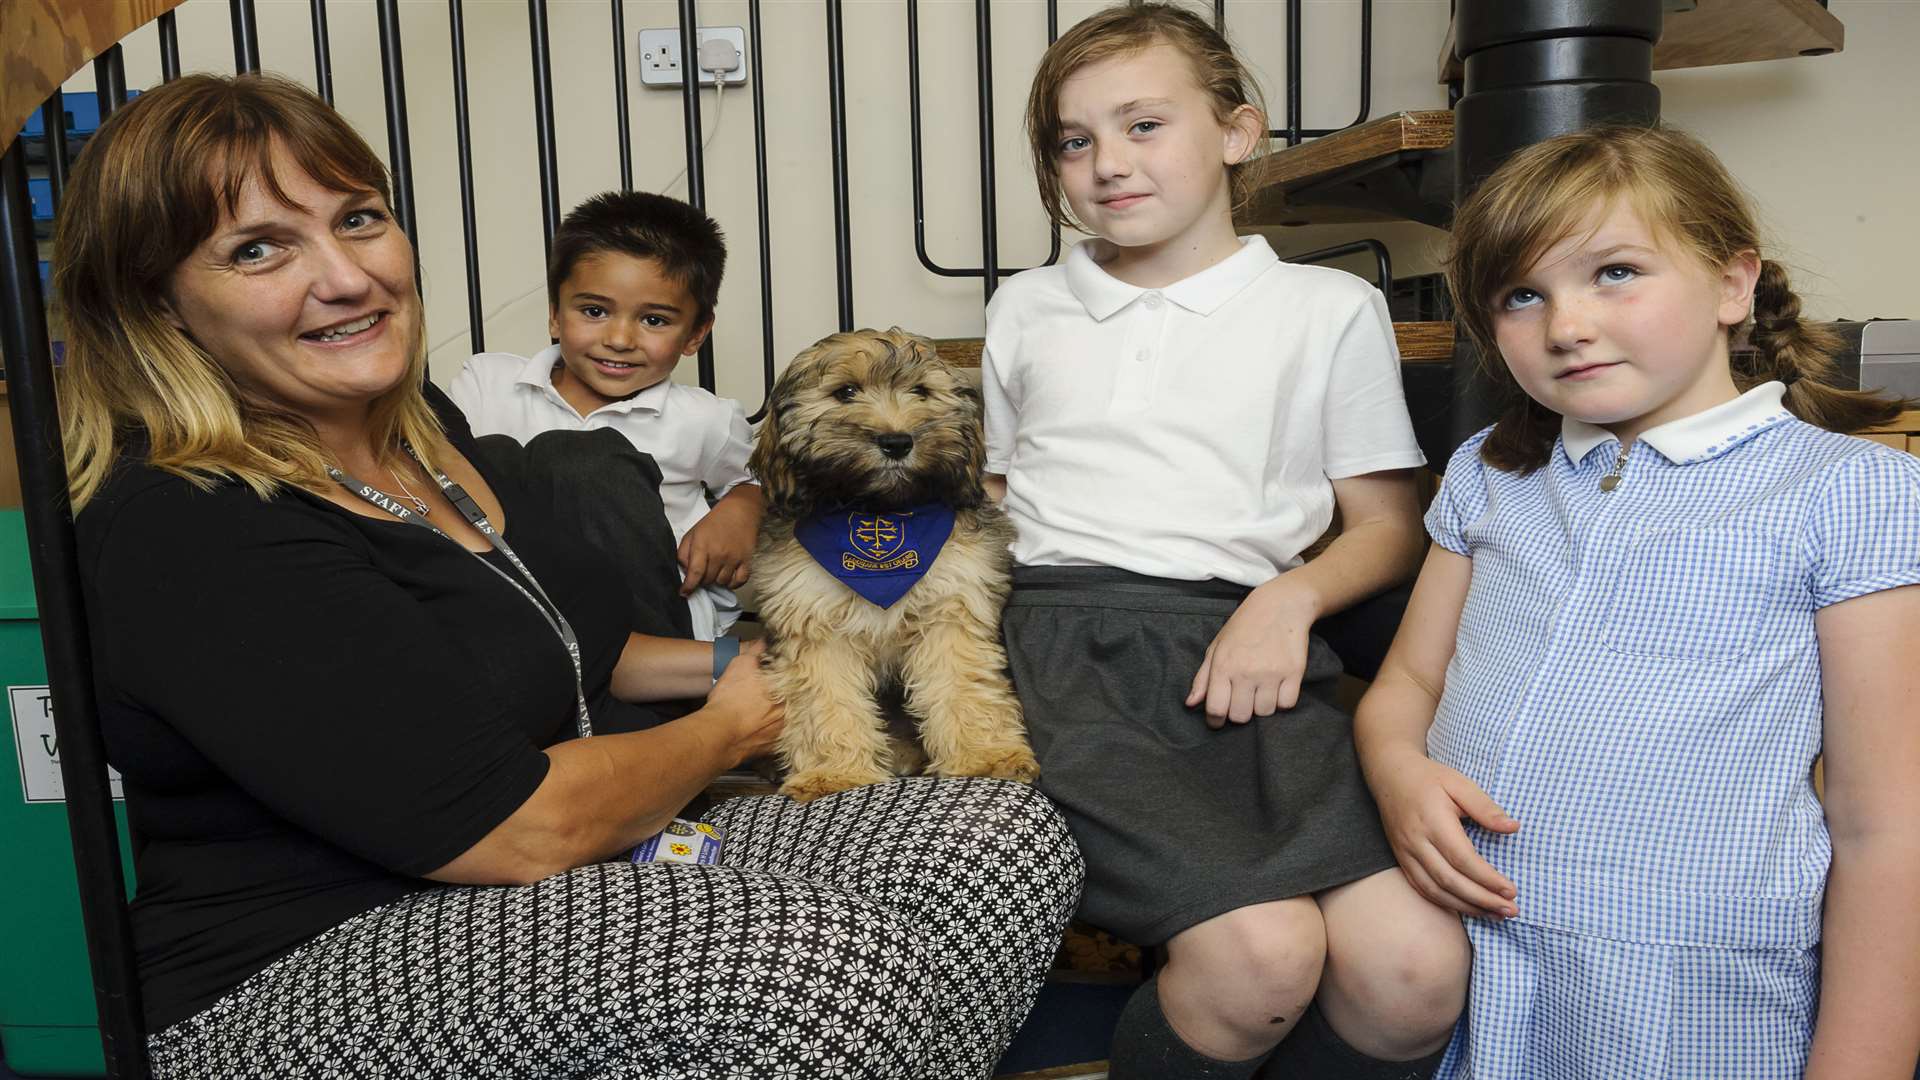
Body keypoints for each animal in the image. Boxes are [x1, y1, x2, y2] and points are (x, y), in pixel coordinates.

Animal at [744, 328, 1044, 799]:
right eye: (845, 392)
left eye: (921, 392)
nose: (897, 442)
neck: (877, 508)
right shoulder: (812, 620)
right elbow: (825, 699)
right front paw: (835, 772)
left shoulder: (952, 606)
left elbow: (963, 684)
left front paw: (984, 755)